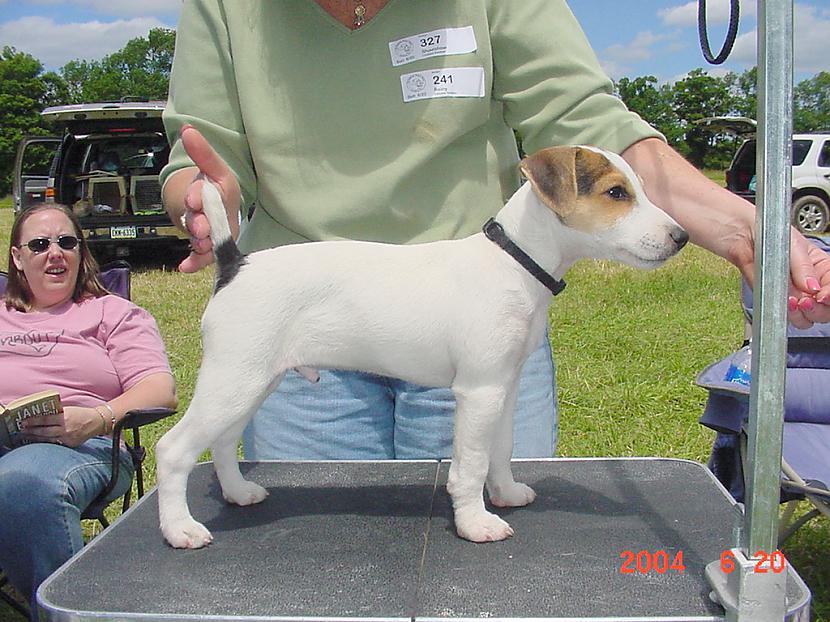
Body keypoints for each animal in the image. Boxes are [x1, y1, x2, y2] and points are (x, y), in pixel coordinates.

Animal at [156, 146, 688, 552]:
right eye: (616, 193)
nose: (681, 237)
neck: (514, 261)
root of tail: (234, 263)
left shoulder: (503, 388)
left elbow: (499, 451)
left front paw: (506, 493)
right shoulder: (478, 392)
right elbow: (470, 466)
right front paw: (476, 523)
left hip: (251, 382)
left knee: (223, 441)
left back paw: (238, 492)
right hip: (234, 380)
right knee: (174, 449)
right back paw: (181, 529)